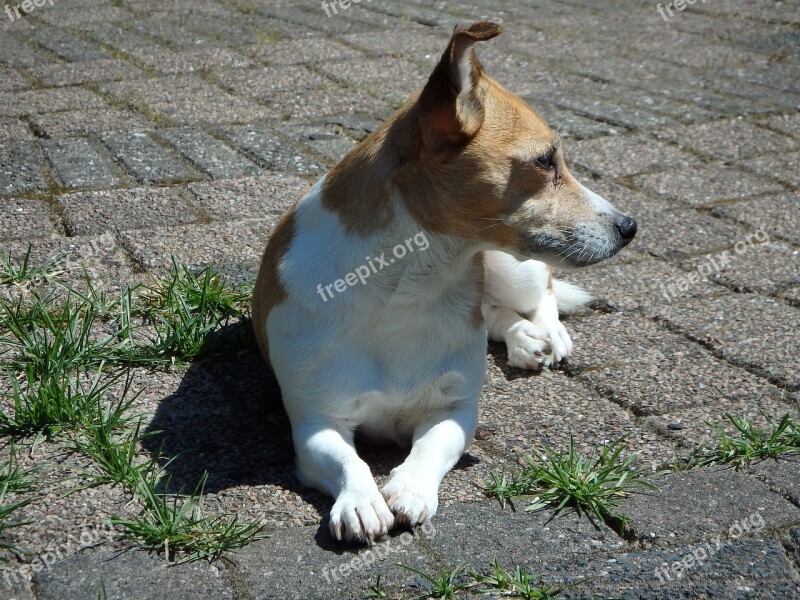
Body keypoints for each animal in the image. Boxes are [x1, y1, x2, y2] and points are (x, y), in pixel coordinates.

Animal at [253, 19, 636, 544]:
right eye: (545, 161)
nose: (630, 226)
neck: (412, 285)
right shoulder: (315, 424)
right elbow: (349, 461)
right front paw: (361, 501)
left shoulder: (454, 412)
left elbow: (429, 450)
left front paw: (409, 488)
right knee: (495, 314)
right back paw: (523, 340)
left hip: (514, 266)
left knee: (542, 294)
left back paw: (548, 333)